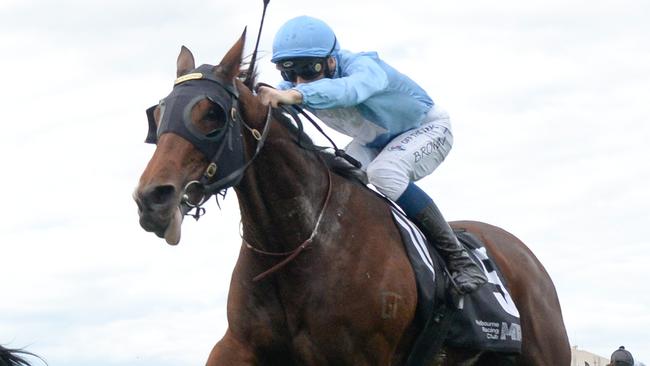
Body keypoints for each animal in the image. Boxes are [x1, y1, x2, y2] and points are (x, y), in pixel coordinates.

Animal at [134, 32, 568, 366]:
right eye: (158, 114)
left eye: (211, 114)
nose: (152, 198)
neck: (300, 242)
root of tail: (523, 253)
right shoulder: (239, 345)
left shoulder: (359, 355)